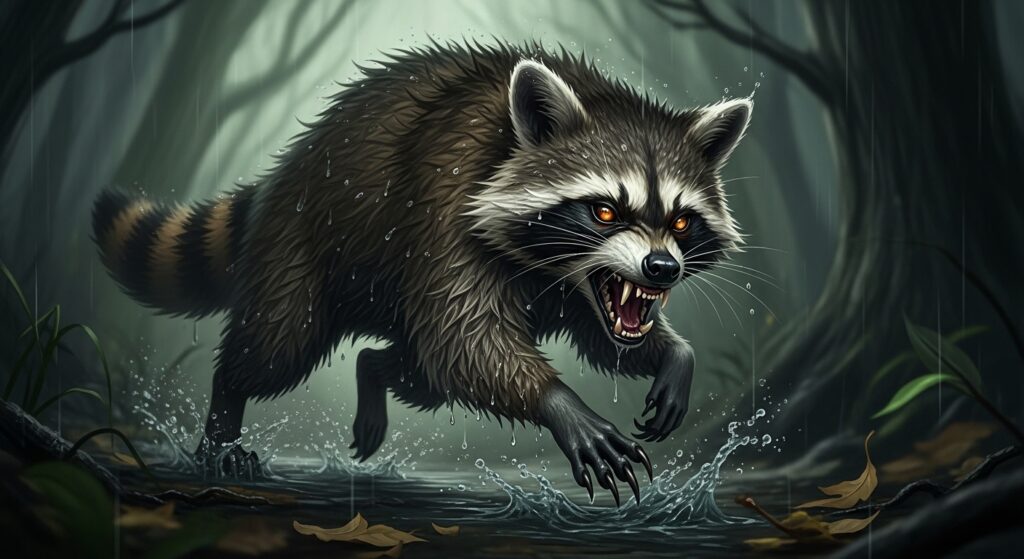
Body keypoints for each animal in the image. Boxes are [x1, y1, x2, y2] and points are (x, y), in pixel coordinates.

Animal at [92, 42, 750, 504]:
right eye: (606, 210)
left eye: (683, 221)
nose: (662, 268)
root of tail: (287, 166)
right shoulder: (443, 203)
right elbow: (466, 341)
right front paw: (562, 404)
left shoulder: (579, 294)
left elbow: (595, 339)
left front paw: (674, 355)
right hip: (303, 245)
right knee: (281, 341)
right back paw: (225, 414)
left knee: (420, 372)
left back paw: (373, 369)